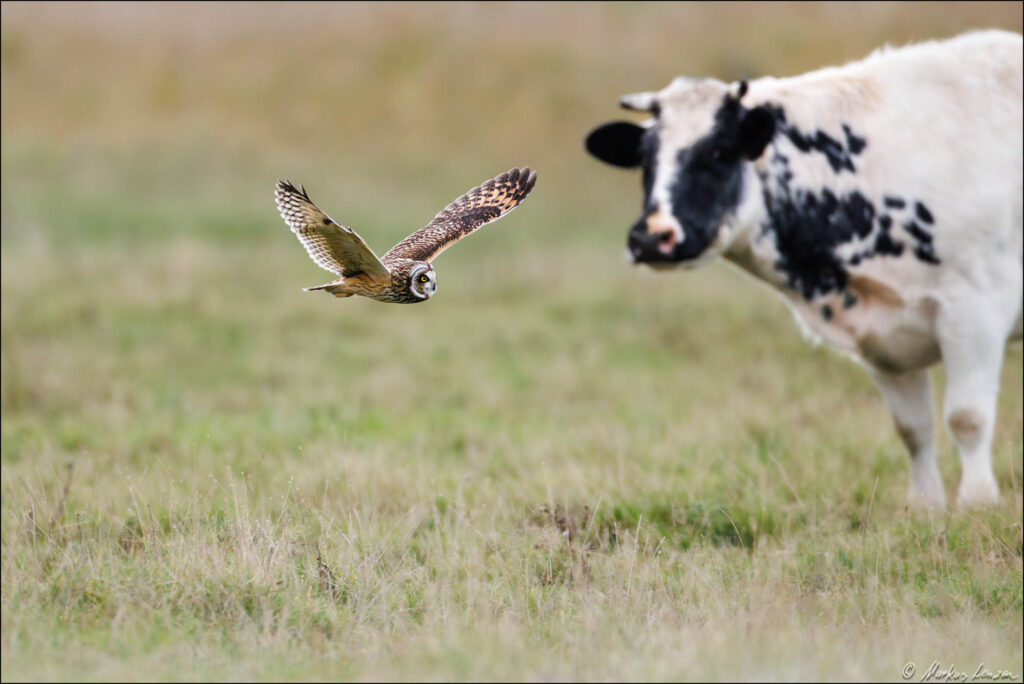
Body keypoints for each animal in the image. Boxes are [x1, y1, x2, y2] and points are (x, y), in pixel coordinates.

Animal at [585, 29, 1023, 510]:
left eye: (718, 151)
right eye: (645, 160)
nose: (651, 237)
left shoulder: (975, 308)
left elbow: (968, 418)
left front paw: (977, 504)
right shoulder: (884, 334)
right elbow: (913, 430)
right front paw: (925, 508)